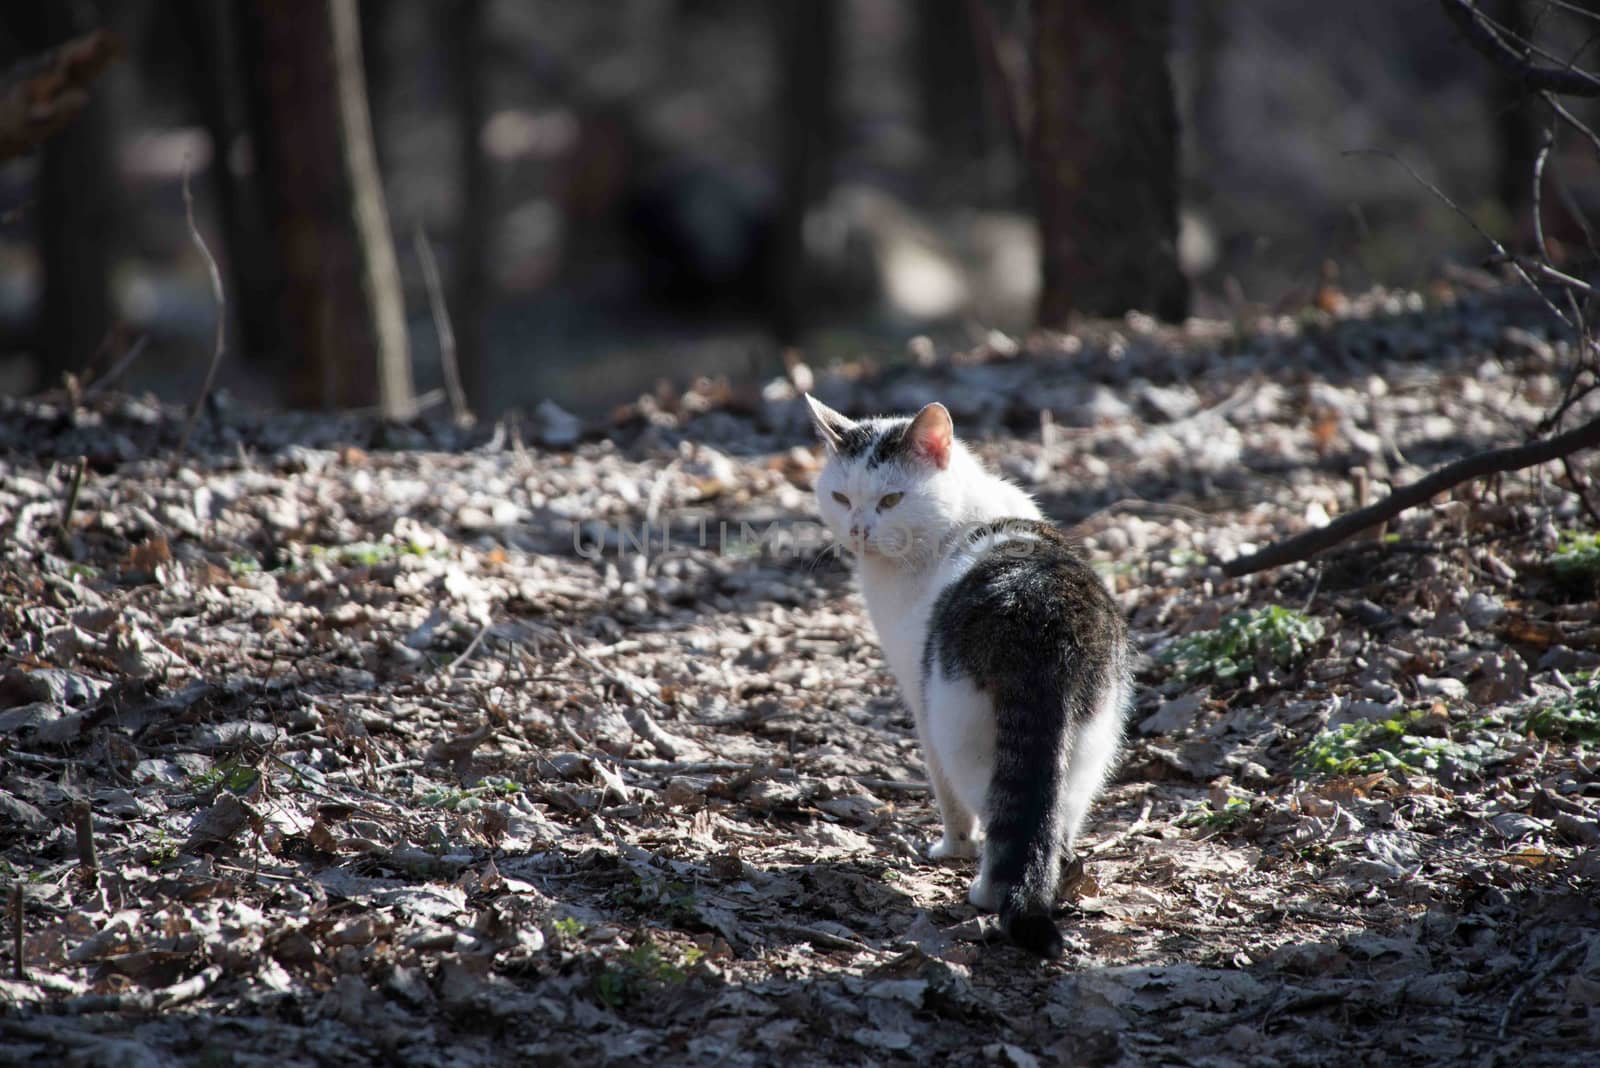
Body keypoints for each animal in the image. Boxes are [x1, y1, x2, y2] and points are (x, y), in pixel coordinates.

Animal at [806, 394, 1132, 959]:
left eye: (891, 500)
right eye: (842, 497)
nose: (859, 531)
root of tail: (1041, 612)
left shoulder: (921, 703)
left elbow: (948, 801)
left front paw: (951, 848)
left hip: (961, 726)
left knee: (1003, 818)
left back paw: (985, 893)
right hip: (1092, 741)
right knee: (1055, 825)